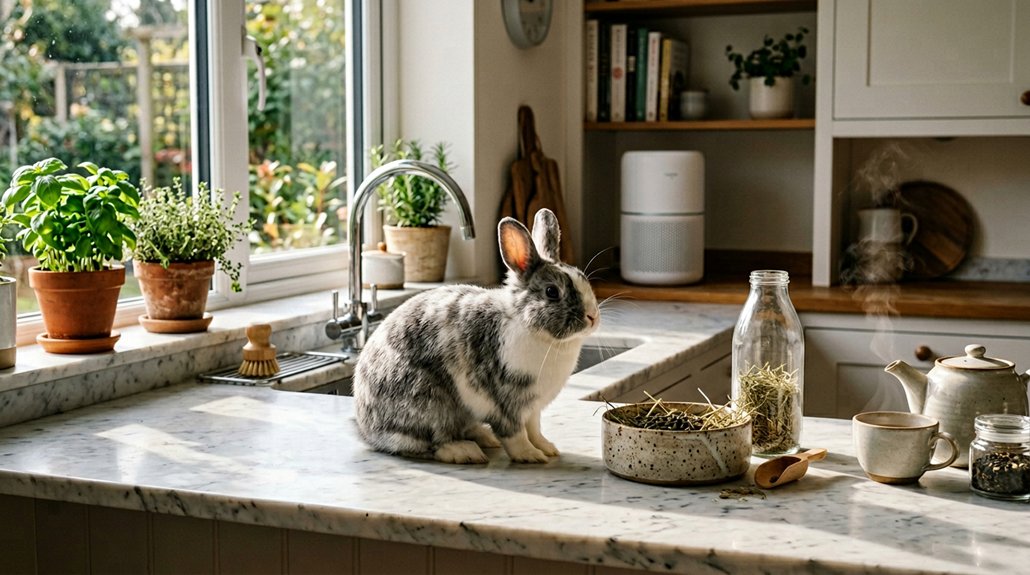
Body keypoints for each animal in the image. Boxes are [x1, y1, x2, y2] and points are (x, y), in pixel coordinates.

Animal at [353, 208, 600, 464]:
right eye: (552, 292)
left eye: (582, 278)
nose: (592, 316)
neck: (532, 329)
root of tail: (368, 430)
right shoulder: (505, 402)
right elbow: (516, 434)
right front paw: (530, 455)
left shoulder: (533, 407)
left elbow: (534, 429)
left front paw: (548, 449)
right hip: (428, 402)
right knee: (429, 443)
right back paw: (465, 451)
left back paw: (484, 437)